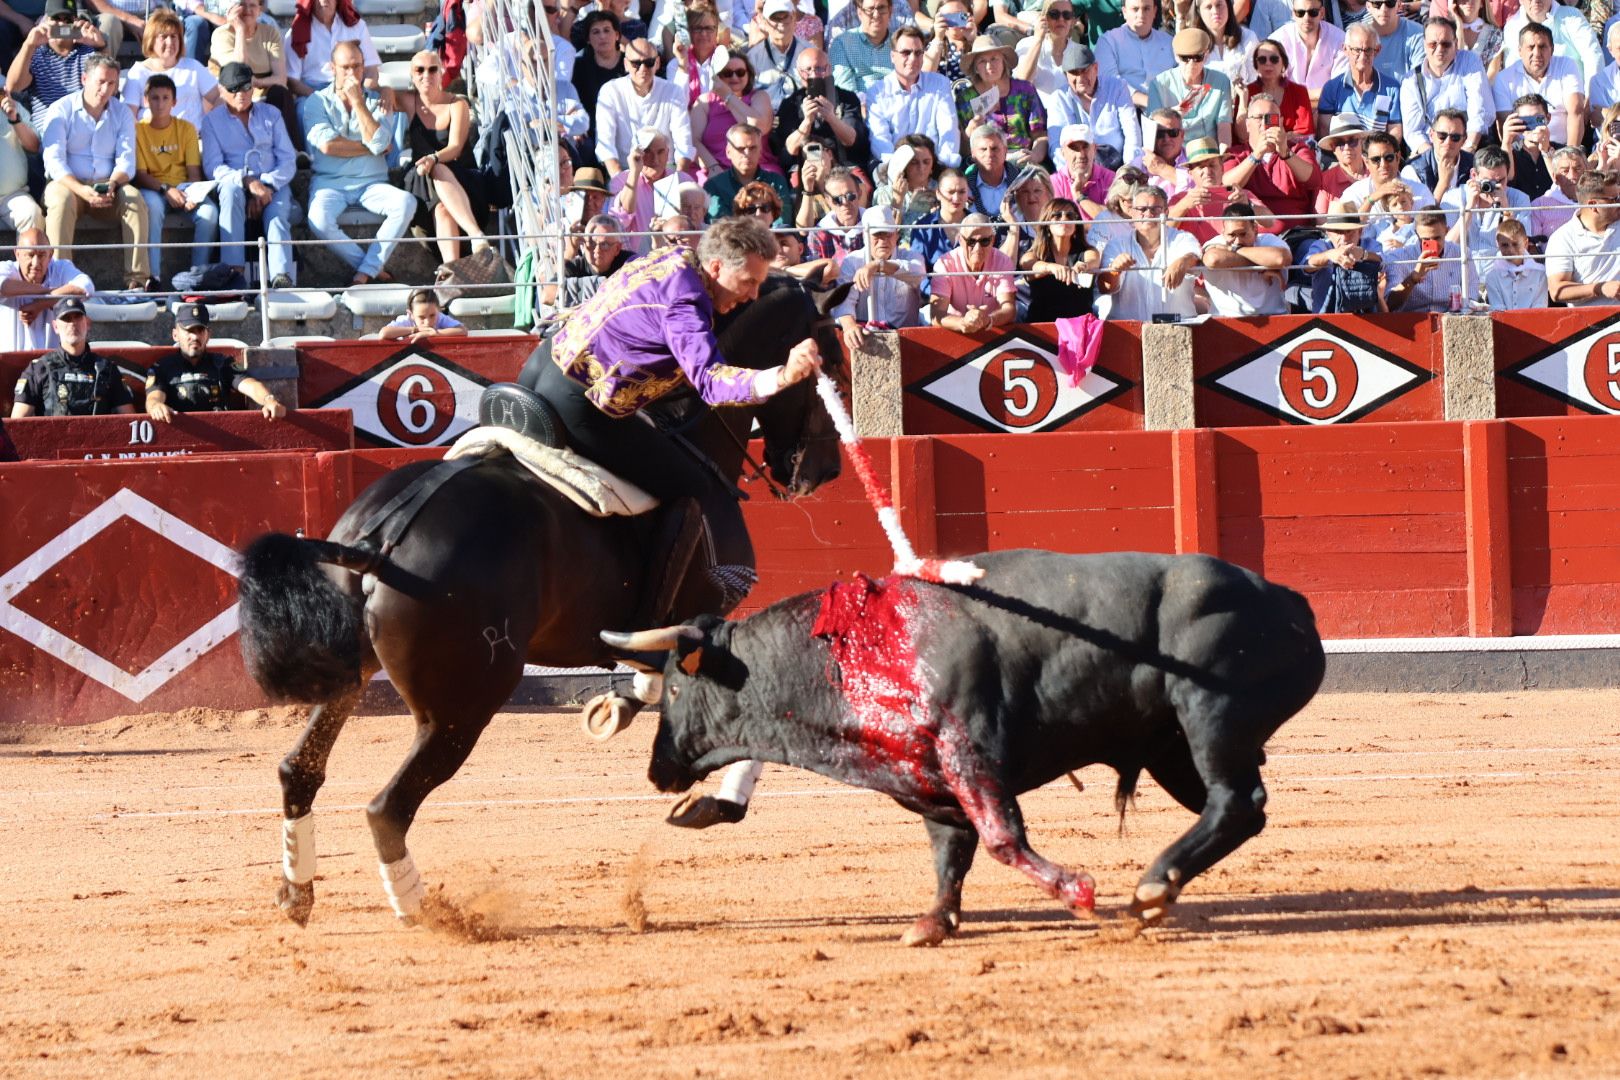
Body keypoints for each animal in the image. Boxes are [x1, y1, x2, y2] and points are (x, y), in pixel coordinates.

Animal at [236, 275, 848, 926]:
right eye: (831, 362)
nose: (827, 470)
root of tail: (382, 536)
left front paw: (619, 706)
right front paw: (713, 803)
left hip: (351, 675)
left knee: (299, 769)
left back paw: (297, 892)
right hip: (461, 707)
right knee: (388, 806)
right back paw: (429, 913)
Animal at [602, 550, 1321, 945]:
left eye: (673, 686)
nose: (657, 771)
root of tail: (1288, 600)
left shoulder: (969, 754)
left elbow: (1002, 838)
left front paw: (1077, 891)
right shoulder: (930, 781)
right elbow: (951, 852)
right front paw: (933, 923)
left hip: (1210, 719)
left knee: (1235, 800)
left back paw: (1151, 886)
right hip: (1173, 748)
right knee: (1242, 809)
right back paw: (1160, 890)